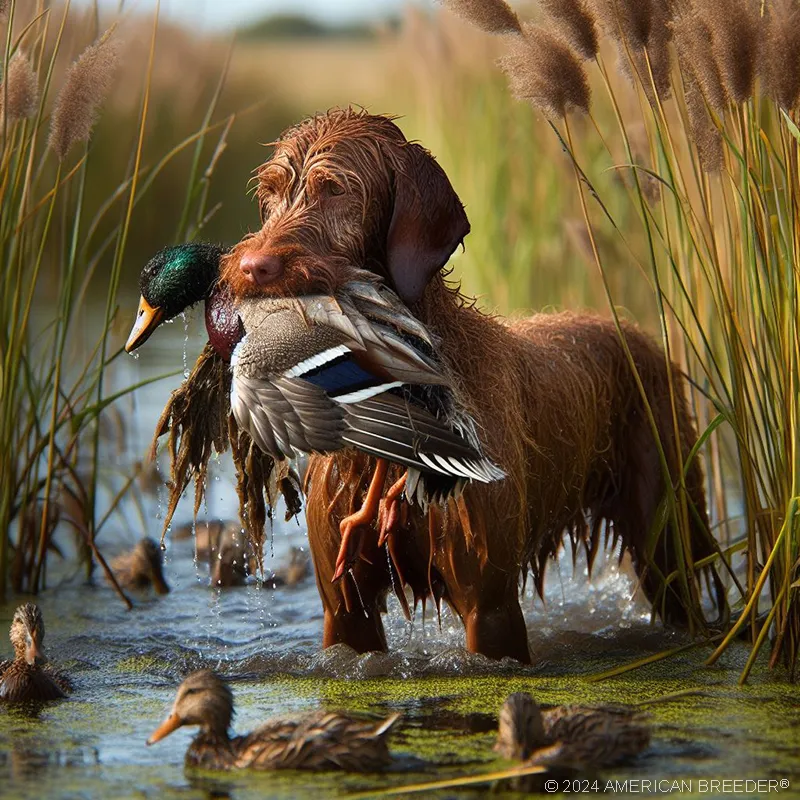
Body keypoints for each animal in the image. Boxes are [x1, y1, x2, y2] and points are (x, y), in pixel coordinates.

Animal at [220, 111, 724, 664]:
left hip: (669, 536)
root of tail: (638, 334)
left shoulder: (491, 606)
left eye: (336, 189)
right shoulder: (346, 613)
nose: (251, 268)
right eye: (270, 192)